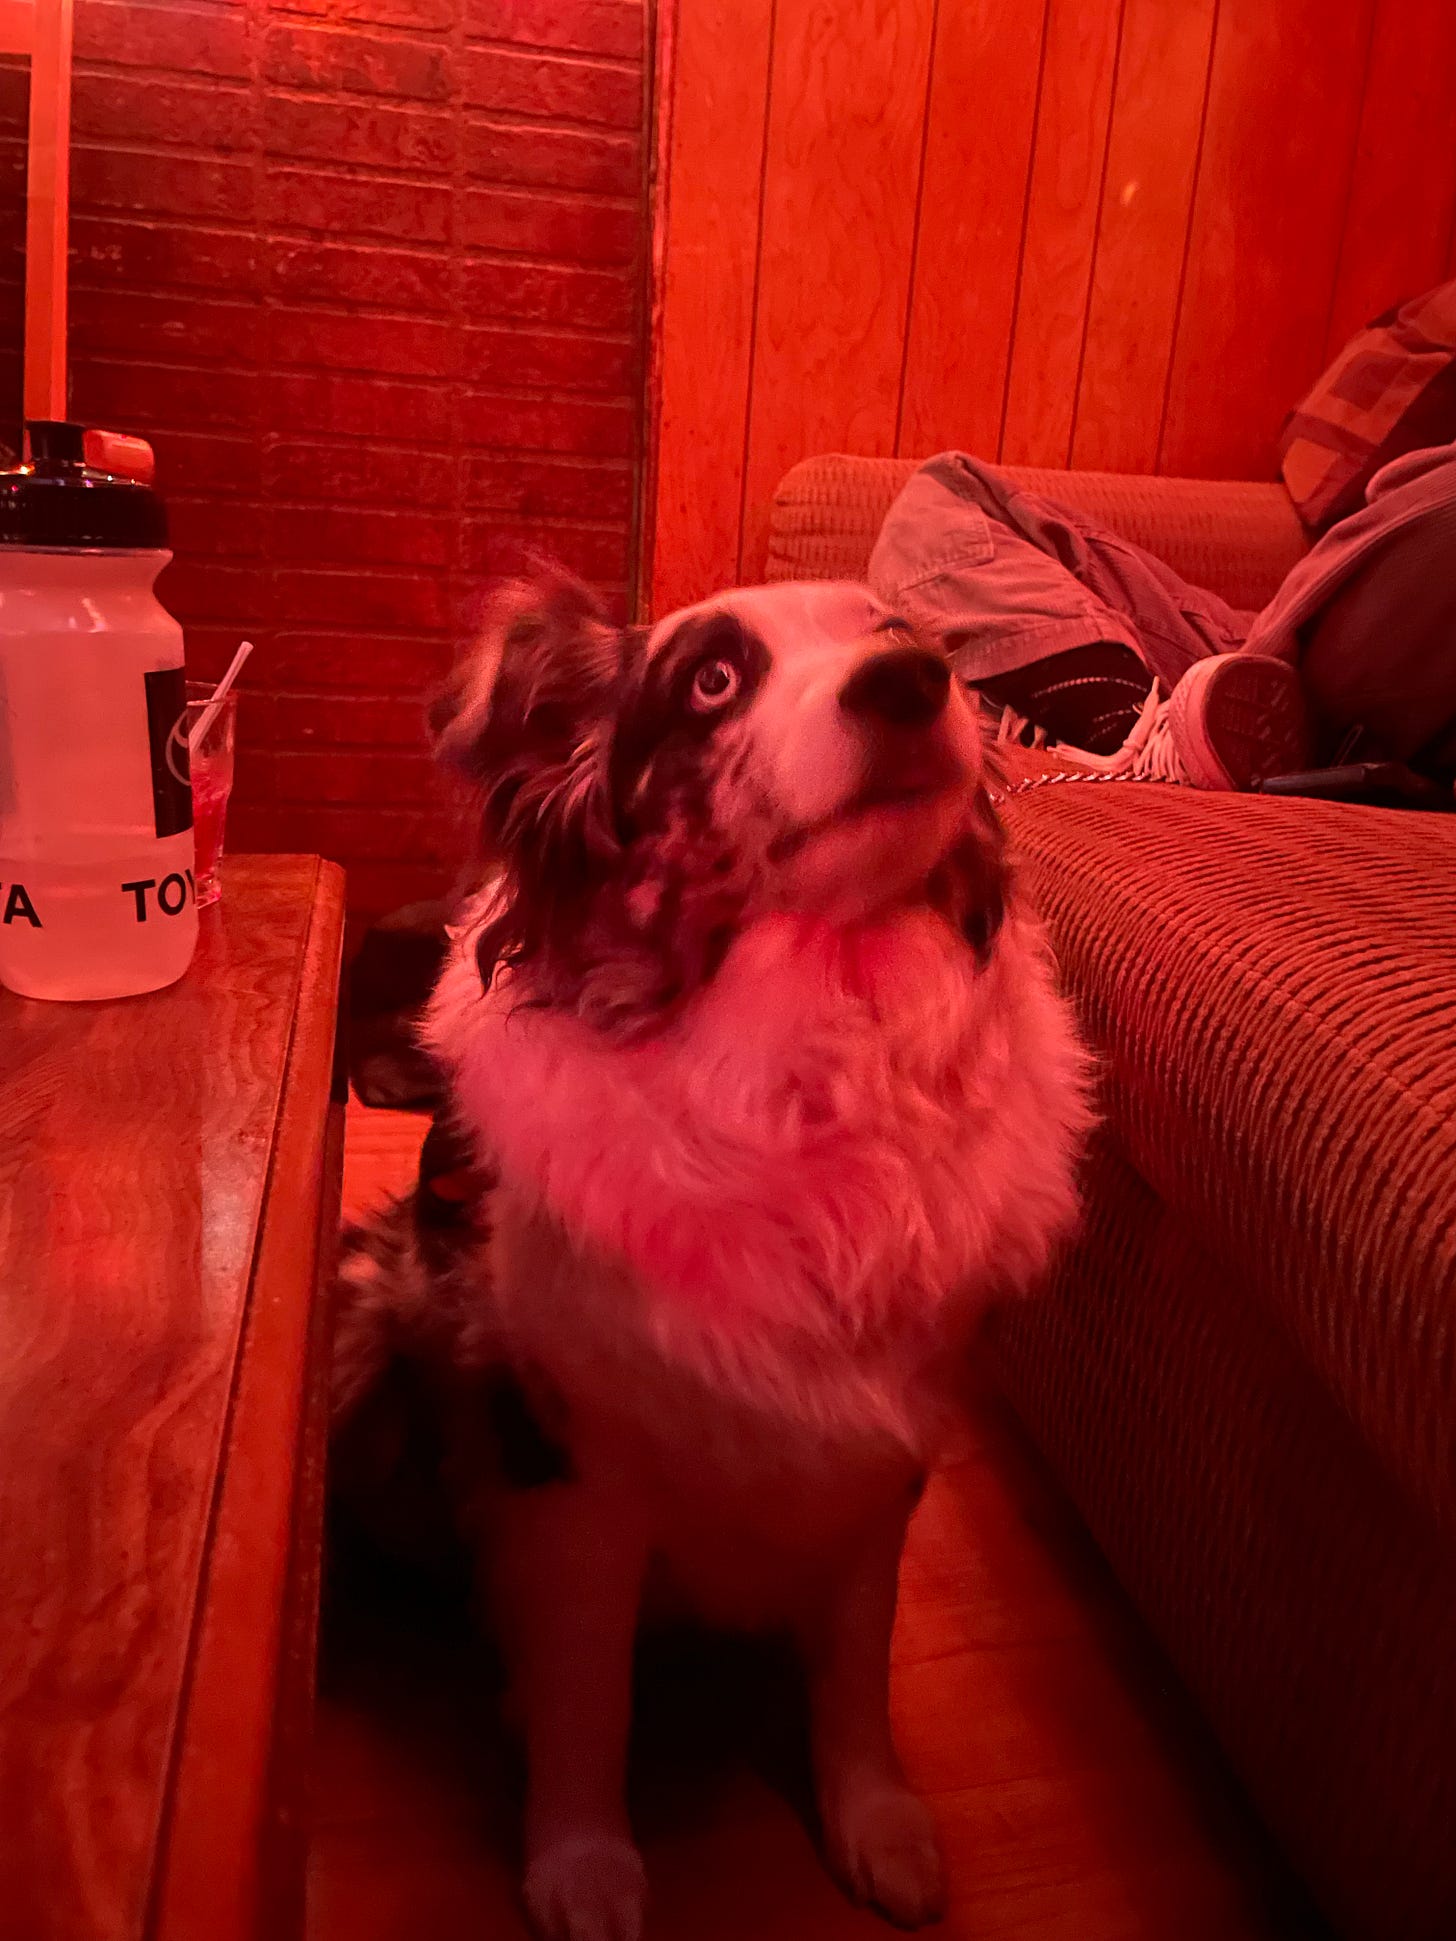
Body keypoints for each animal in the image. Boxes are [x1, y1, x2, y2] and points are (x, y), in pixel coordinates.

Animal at [330, 569, 1092, 1941]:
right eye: (712, 681)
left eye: (893, 630)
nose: (912, 683)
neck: (816, 1037)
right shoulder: (574, 1464)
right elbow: (590, 1692)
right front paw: (583, 1861)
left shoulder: (888, 1443)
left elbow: (857, 1652)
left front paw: (874, 1817)